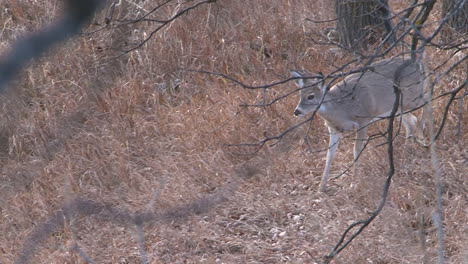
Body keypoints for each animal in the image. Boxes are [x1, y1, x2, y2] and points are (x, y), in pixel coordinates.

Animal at [292, 56, 428, 191]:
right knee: (411, 122)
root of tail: (418, 62)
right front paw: (321, 186)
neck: (342, 109)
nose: (297, 111)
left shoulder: (363, 120)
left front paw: (355, 182)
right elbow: (330, 154)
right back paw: (407, 153)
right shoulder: (334, 129)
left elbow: (357, 149)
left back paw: (421, 136)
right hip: (397, 107)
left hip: (412, 96)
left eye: (311, 96)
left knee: (427, 101)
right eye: (300, 94)